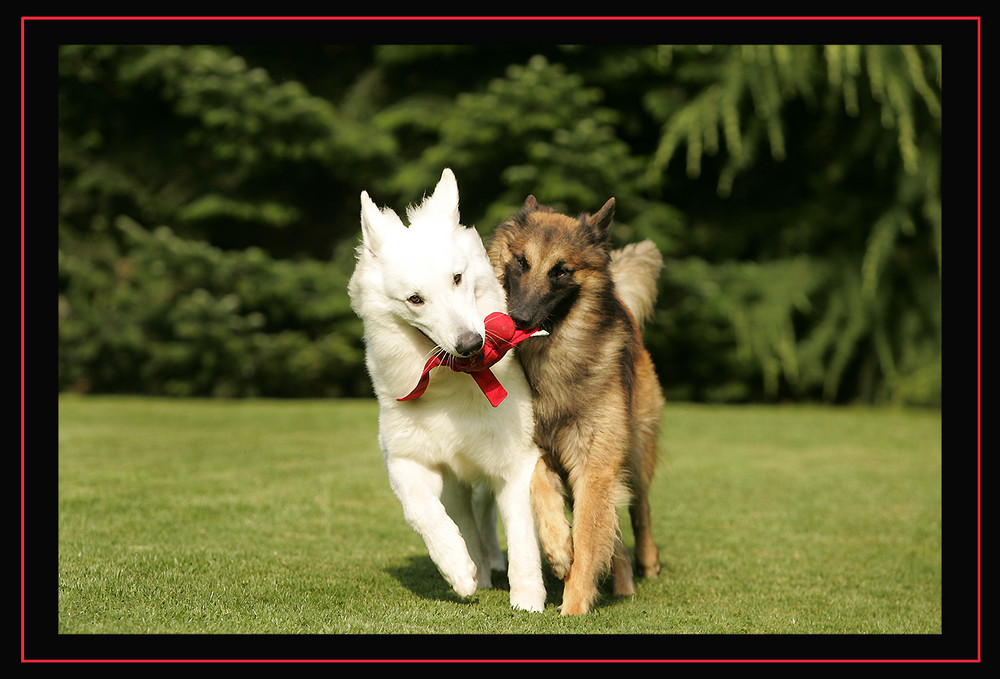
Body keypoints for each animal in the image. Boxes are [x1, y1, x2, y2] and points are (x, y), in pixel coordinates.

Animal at [346, 171, 548, 616]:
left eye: (457, 278)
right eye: (415, 299)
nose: (471, 344)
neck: (453, 388)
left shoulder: (516, 464)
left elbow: (522, 538)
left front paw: (528, 599)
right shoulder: (407, 461)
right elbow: (423, 513)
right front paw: (458, 568)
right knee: (469, 519)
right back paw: (479, 566)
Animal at [486, 197, 660, 616]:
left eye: (561, 270)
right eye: (521, 261)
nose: (518, 319)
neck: (550, 359)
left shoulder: (594, 467)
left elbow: (590, 532)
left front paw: (574, 604)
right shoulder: (536, 452)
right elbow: (540, 488)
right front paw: (559, 549)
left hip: (635, 451)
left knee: (640, 509)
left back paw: (646, 563)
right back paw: (622, 581)